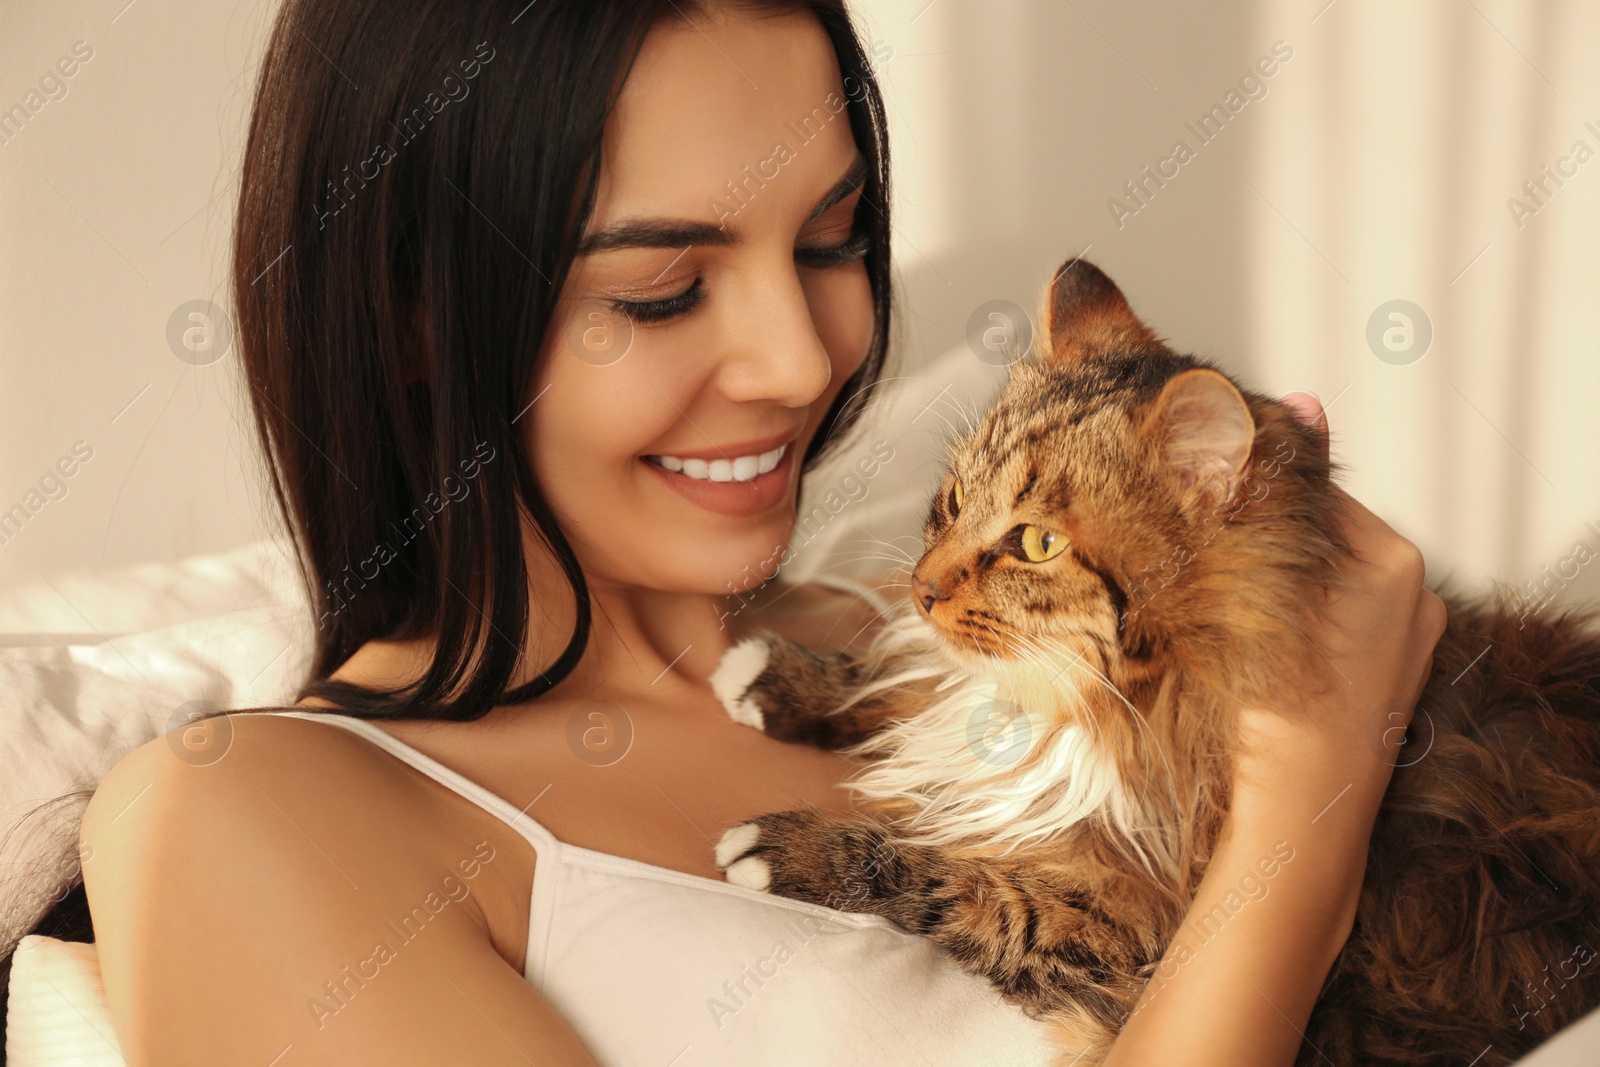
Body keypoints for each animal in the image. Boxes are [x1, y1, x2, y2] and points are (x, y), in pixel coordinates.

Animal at [710, 260, 1600, 1067]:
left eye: (1038, 543)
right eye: (955, 500)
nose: (921, 588)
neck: (1092, 704)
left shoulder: (1127, 921)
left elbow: (960, 884)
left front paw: (789, 848)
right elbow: (904, 689)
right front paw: (774, 678)